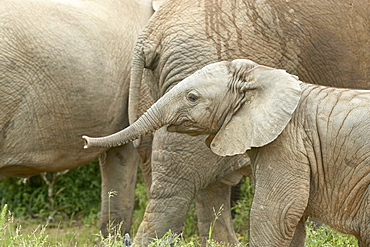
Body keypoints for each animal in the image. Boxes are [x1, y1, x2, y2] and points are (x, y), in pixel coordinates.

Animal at [84, 58, 370, 246]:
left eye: (192, 98)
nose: (85, 140)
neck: (260, 75)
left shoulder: (288, 143)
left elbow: (277, 212)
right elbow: (292, 220)